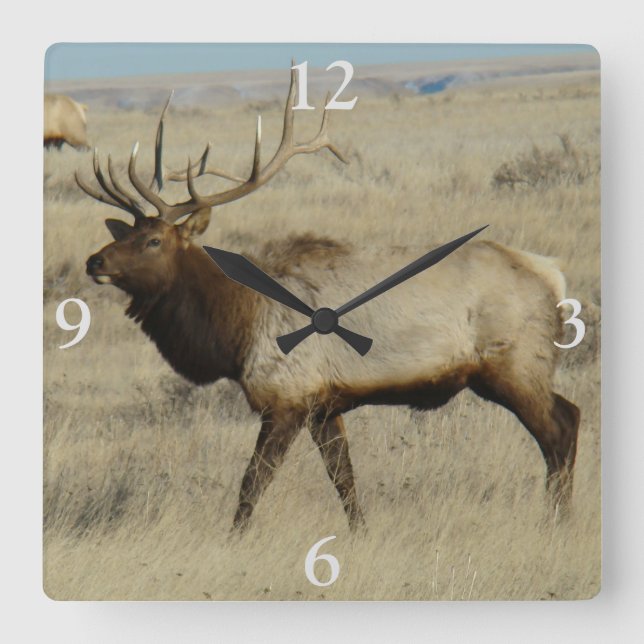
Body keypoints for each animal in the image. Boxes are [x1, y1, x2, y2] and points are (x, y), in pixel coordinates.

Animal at [78, 68, 580, 533]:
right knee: (568, 418)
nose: (94, 261)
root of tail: (553, 275)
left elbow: (253, 481)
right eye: (126, 233)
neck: (235, 327)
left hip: (513, 365)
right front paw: (360, 533)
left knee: (561, 427)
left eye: (154, 240)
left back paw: (556, 522)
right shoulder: (325, 404)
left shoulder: (287, 397)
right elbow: (344, 479)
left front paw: (233, 539)